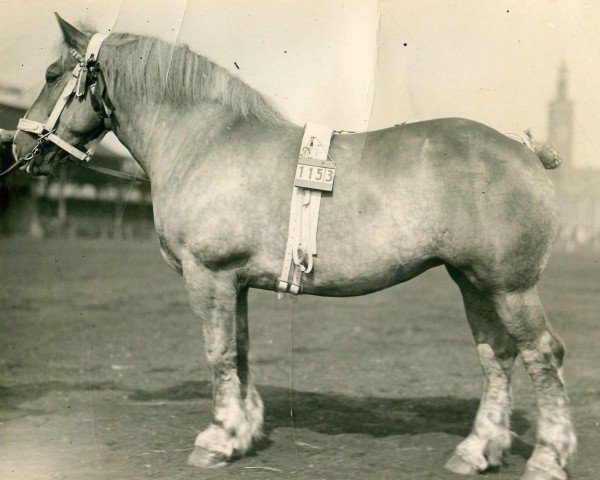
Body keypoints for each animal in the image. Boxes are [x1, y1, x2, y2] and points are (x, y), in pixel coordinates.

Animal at [12, 15, 576, 480]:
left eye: (50, 75)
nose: (18, 146)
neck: (206, 140)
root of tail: (522, 148)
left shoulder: (208, 276)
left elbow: (218, 352)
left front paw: (216, 439)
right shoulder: (233, 283)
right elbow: (239, 349)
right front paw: (242, 431)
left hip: (510, 288)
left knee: (543, 355)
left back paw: (548, 457)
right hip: (475, 283)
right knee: (497, 357)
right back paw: (477, 450)